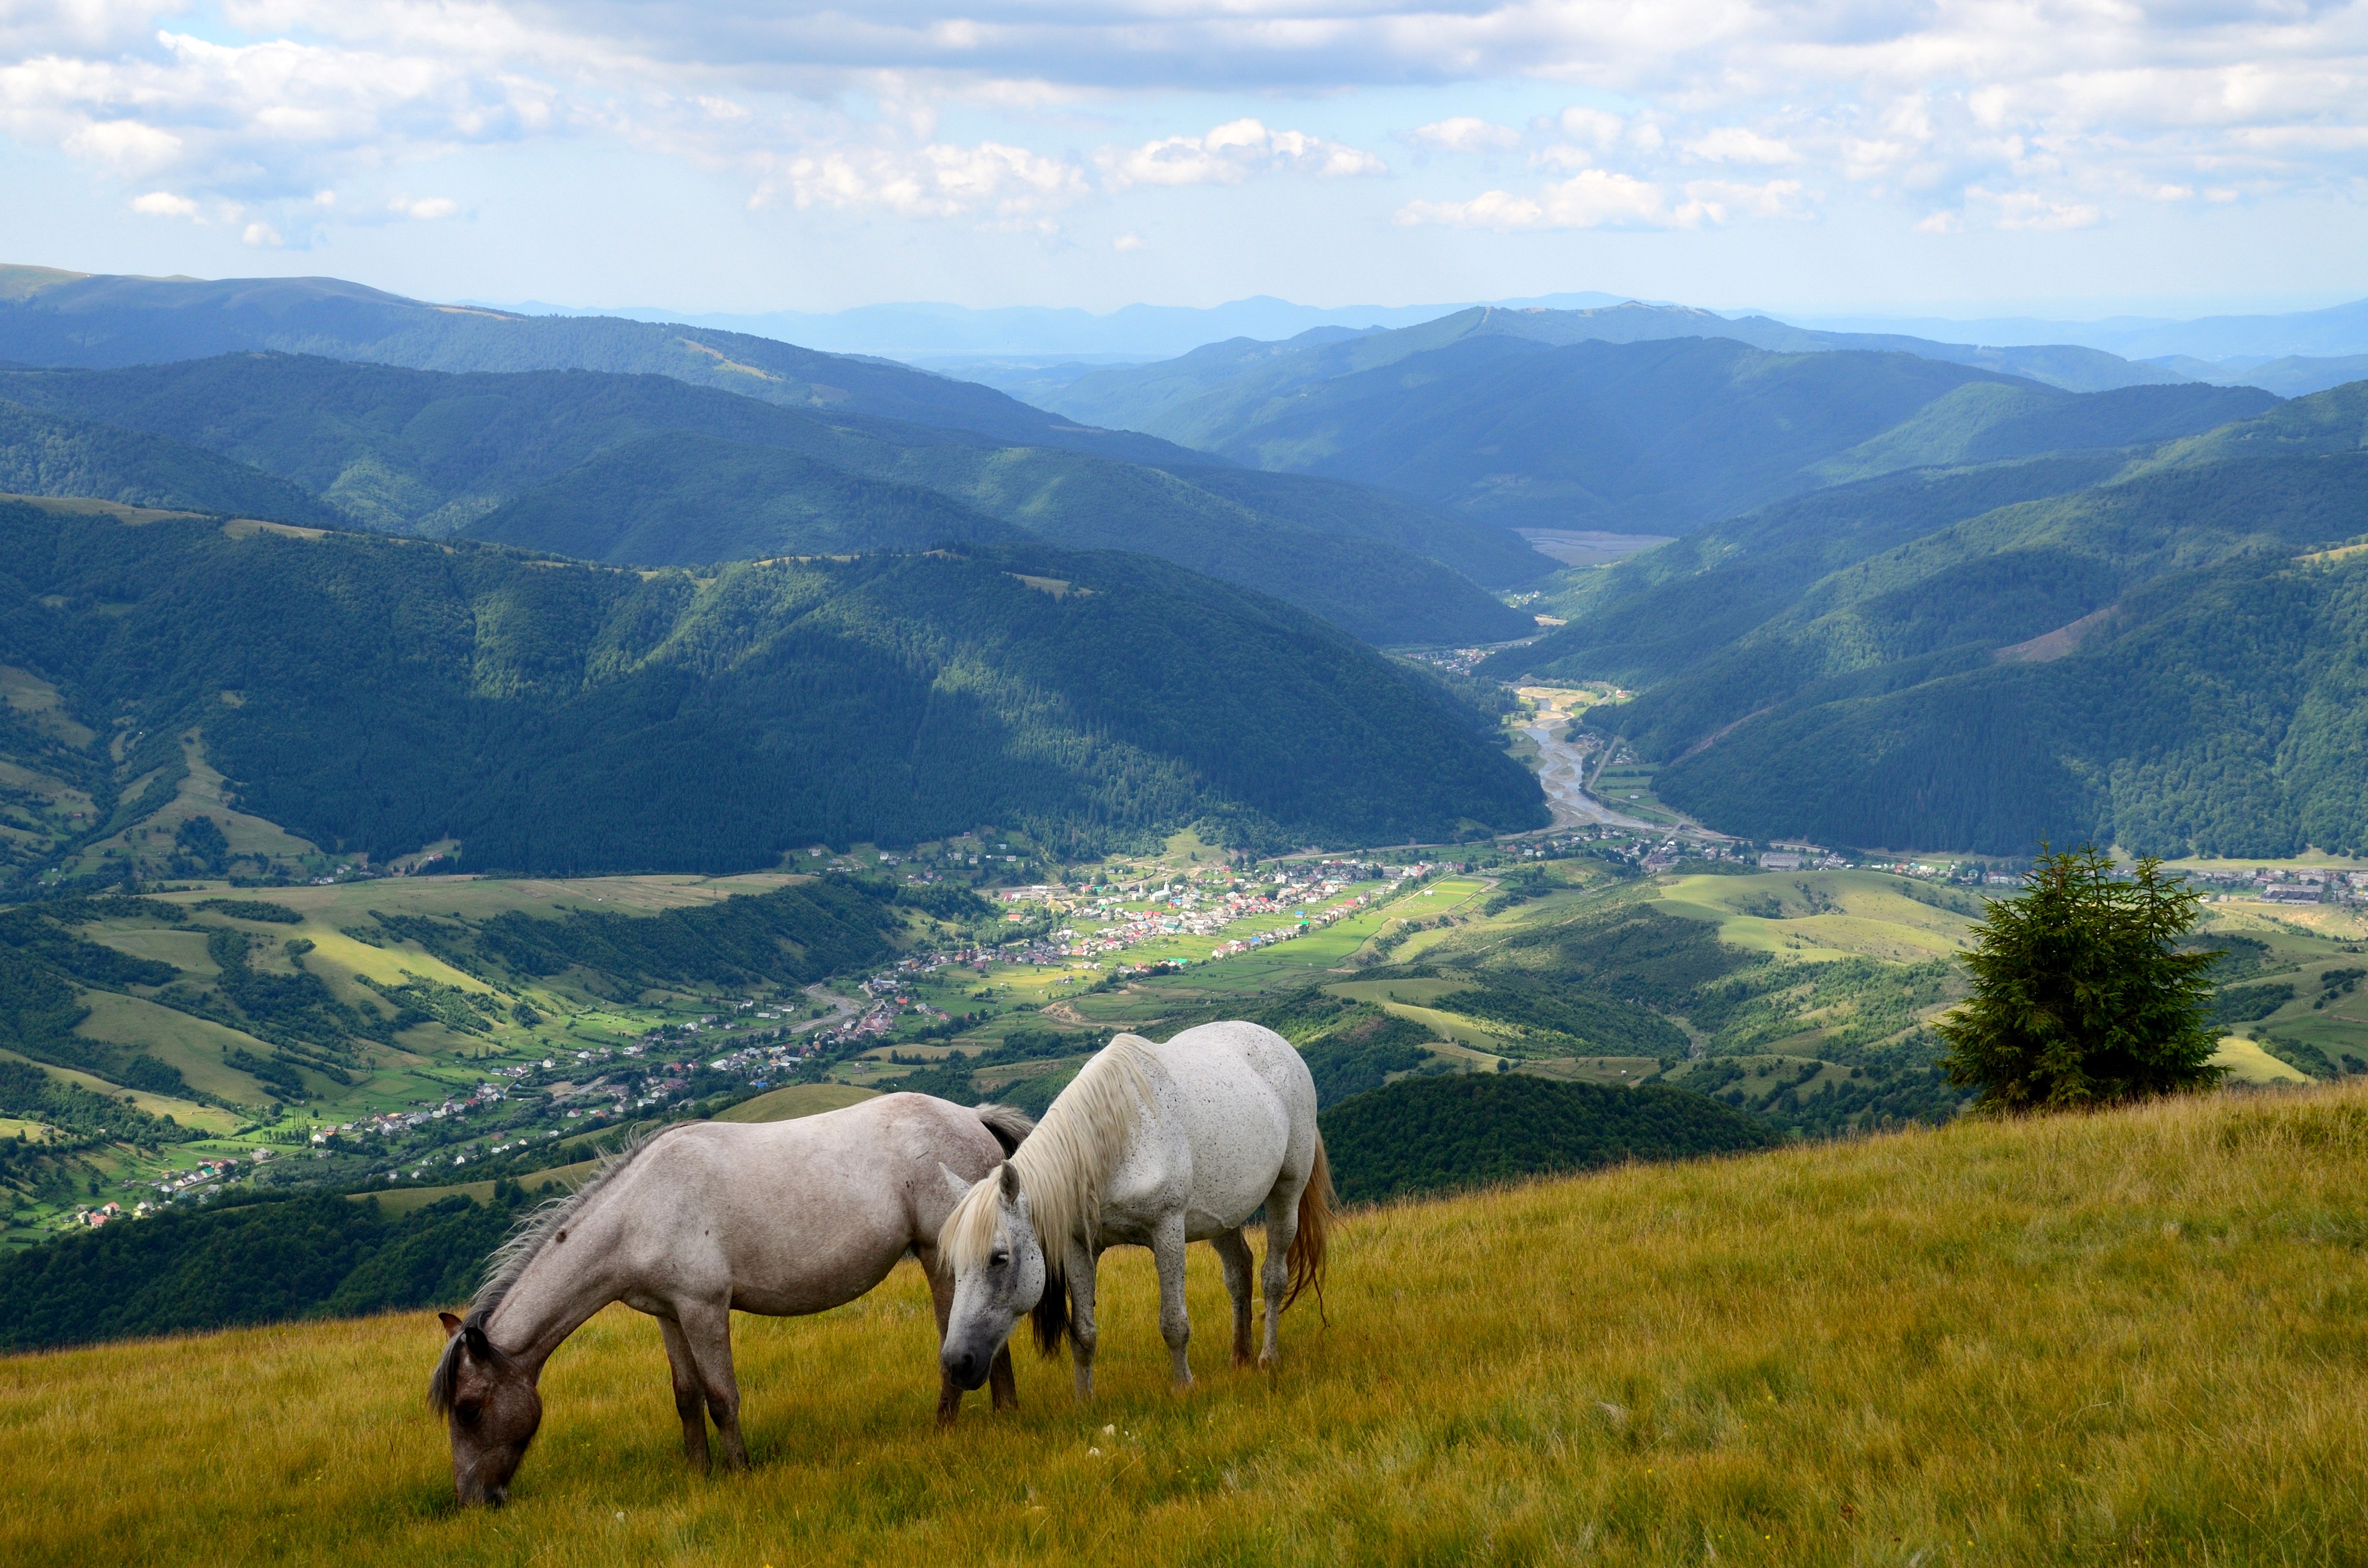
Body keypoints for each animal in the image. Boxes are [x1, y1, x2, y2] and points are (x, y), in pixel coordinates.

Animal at [427, 1093, 1033, 1506]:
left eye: (469, 1408)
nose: (474, 1500)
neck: (639, 1211)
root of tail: (972, 1115)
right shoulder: (669, 1314)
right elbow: (686, 1396)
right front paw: (698, 1475)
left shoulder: (704, 1308)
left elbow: (721, 1396)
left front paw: (739, 1472)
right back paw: (1006, 1415)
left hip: (939, 1256)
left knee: (956, 1340)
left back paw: (946, 1428)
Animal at [936, 1021, 1333, 1402]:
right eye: (955, 1266)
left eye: (999, 1258)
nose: (957, 1363)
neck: (1116, 1139)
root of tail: (1280, 1044)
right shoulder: (1079, 1248)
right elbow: (1083, 1333)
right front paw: (1084, 1401)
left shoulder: (1168, 1232)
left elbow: (1174, 1323)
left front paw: (1183, 1388)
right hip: (1223, 1214)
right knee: (1239, 1272)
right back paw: (1240, 1358)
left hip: (1286, 1193)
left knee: (1273, 1277)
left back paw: (1267, 1358)